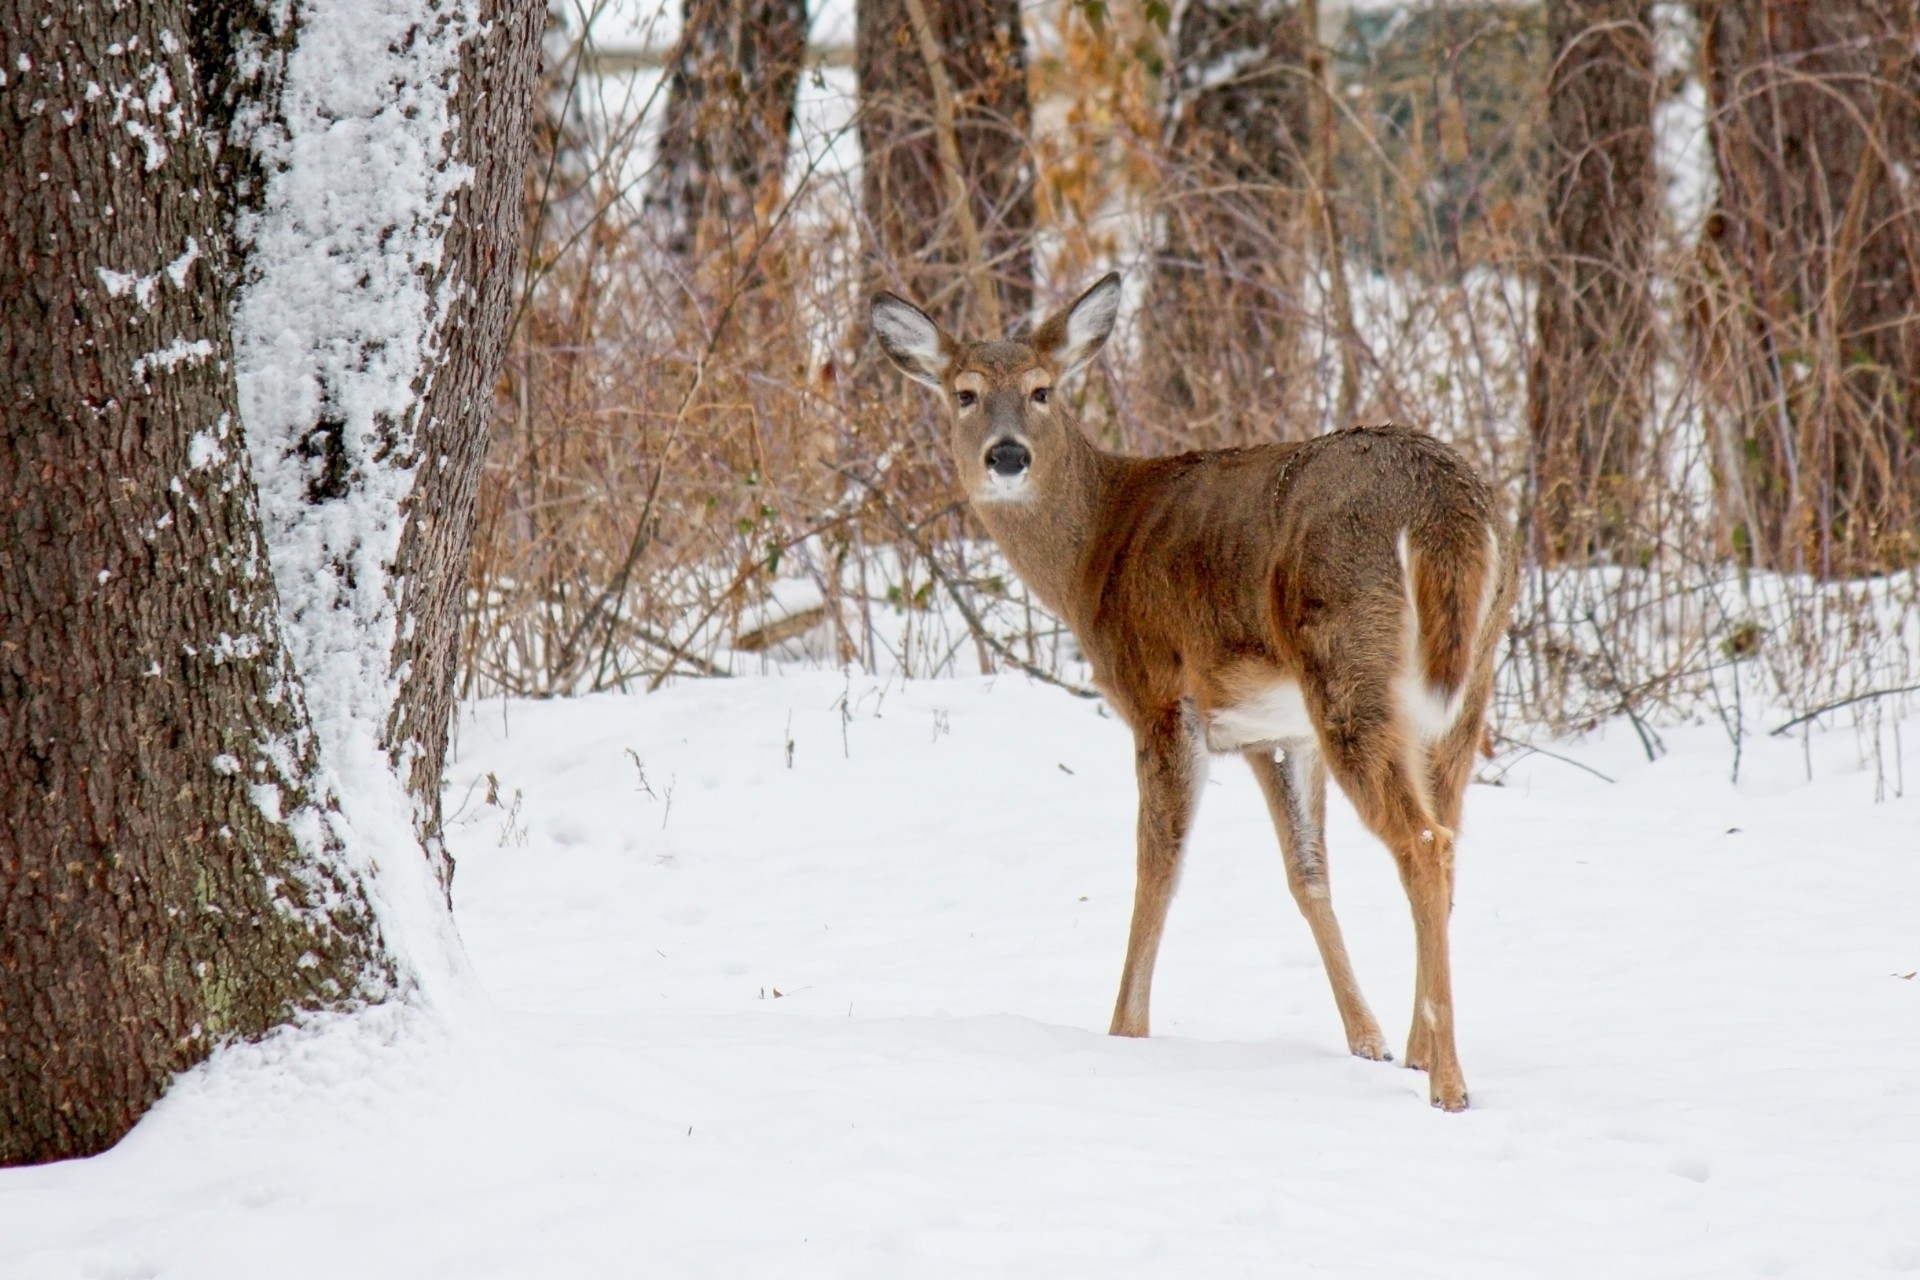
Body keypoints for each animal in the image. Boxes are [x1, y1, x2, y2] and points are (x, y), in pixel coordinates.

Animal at [871, 272, 1512, 1113]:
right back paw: (1418, 1049)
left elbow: (1158, 867)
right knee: (1448, 834)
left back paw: (1449, 1084)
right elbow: (1307, 873)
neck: (1092, 551)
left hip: (1347, 659)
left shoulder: (1158, 695)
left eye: (1043, 390)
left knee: (1427, 841)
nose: (1006, 455)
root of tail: (1442, 508)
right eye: (965, 392)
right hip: (1463, 687)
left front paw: (1123, 1031)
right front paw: (1366, 1040)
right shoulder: (1270, 731)